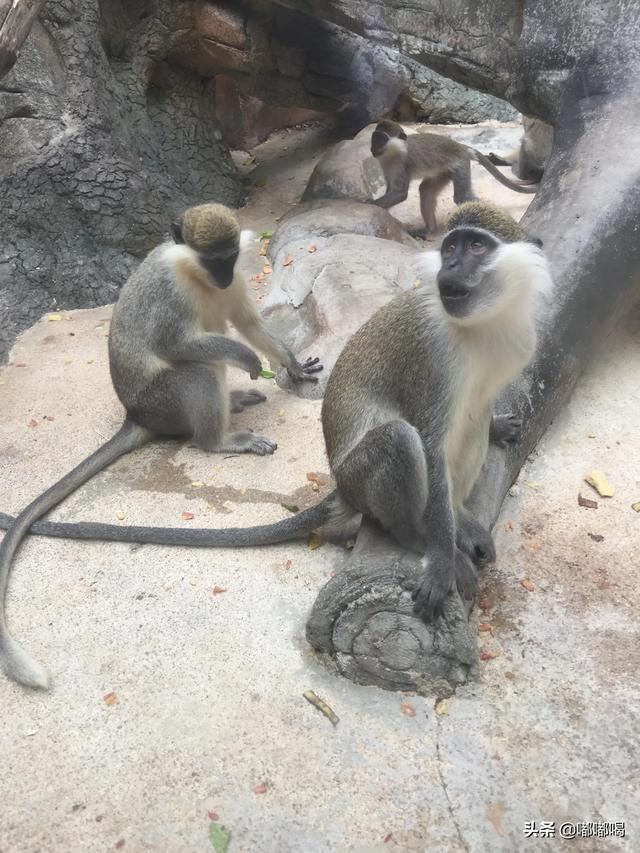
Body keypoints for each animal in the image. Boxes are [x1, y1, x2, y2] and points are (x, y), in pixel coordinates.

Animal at [0, 203, 322, 688]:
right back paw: (219, 440)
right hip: (163, 399)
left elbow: (249, 323)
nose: (223, 277)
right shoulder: (169, 293)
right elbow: (177, 342)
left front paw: (292, 364)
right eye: (212, 260)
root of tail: (138, 415)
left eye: (230, 258)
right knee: (201, 368)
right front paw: (247, 359)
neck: (194, 274)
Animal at [370, 116, 540, 236]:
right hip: (444, 172)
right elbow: (392, 191)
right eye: (374, 138)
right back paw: (429, 229)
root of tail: (462, 147)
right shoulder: (385, 164)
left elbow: (400, 193)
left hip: (461, 165)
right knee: (426, 190)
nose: (373, 148)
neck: (392, 153)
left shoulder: (401, 163)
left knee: (461, 197)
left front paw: (368, 202)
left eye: (381, 139)